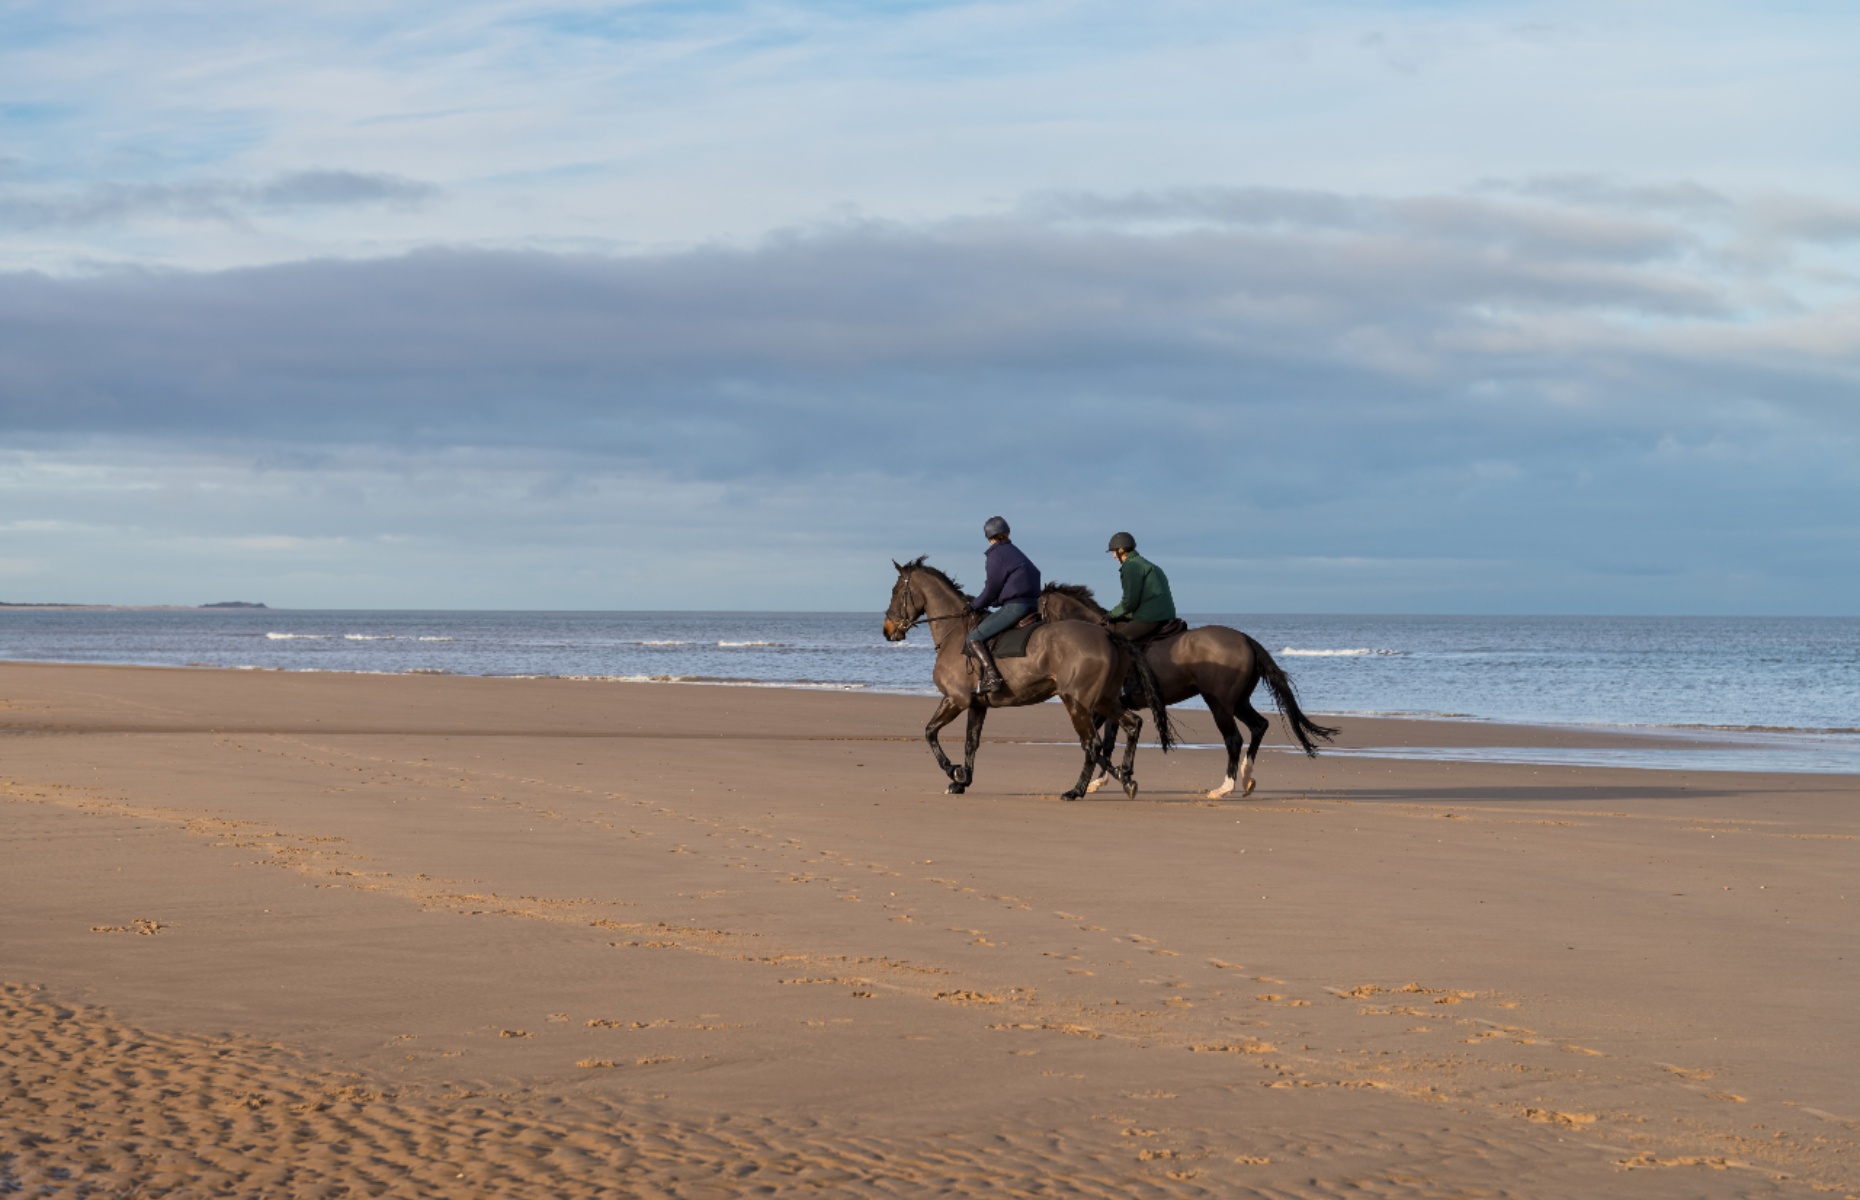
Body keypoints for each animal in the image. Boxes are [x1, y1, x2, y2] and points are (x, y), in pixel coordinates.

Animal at [877, 558, 1168, 800]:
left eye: (895, 591)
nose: (888, 630)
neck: (955, 633)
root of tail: (1108, 634)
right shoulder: (977, 705)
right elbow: (971, 742)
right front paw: (963, 781)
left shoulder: (956, 699)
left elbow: (930, 732)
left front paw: (953, 771)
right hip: (1104, 699)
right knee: (1132, 724)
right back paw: (1125, 776)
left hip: (1077, 702)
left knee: (1092, 744)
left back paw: (1076, 791)